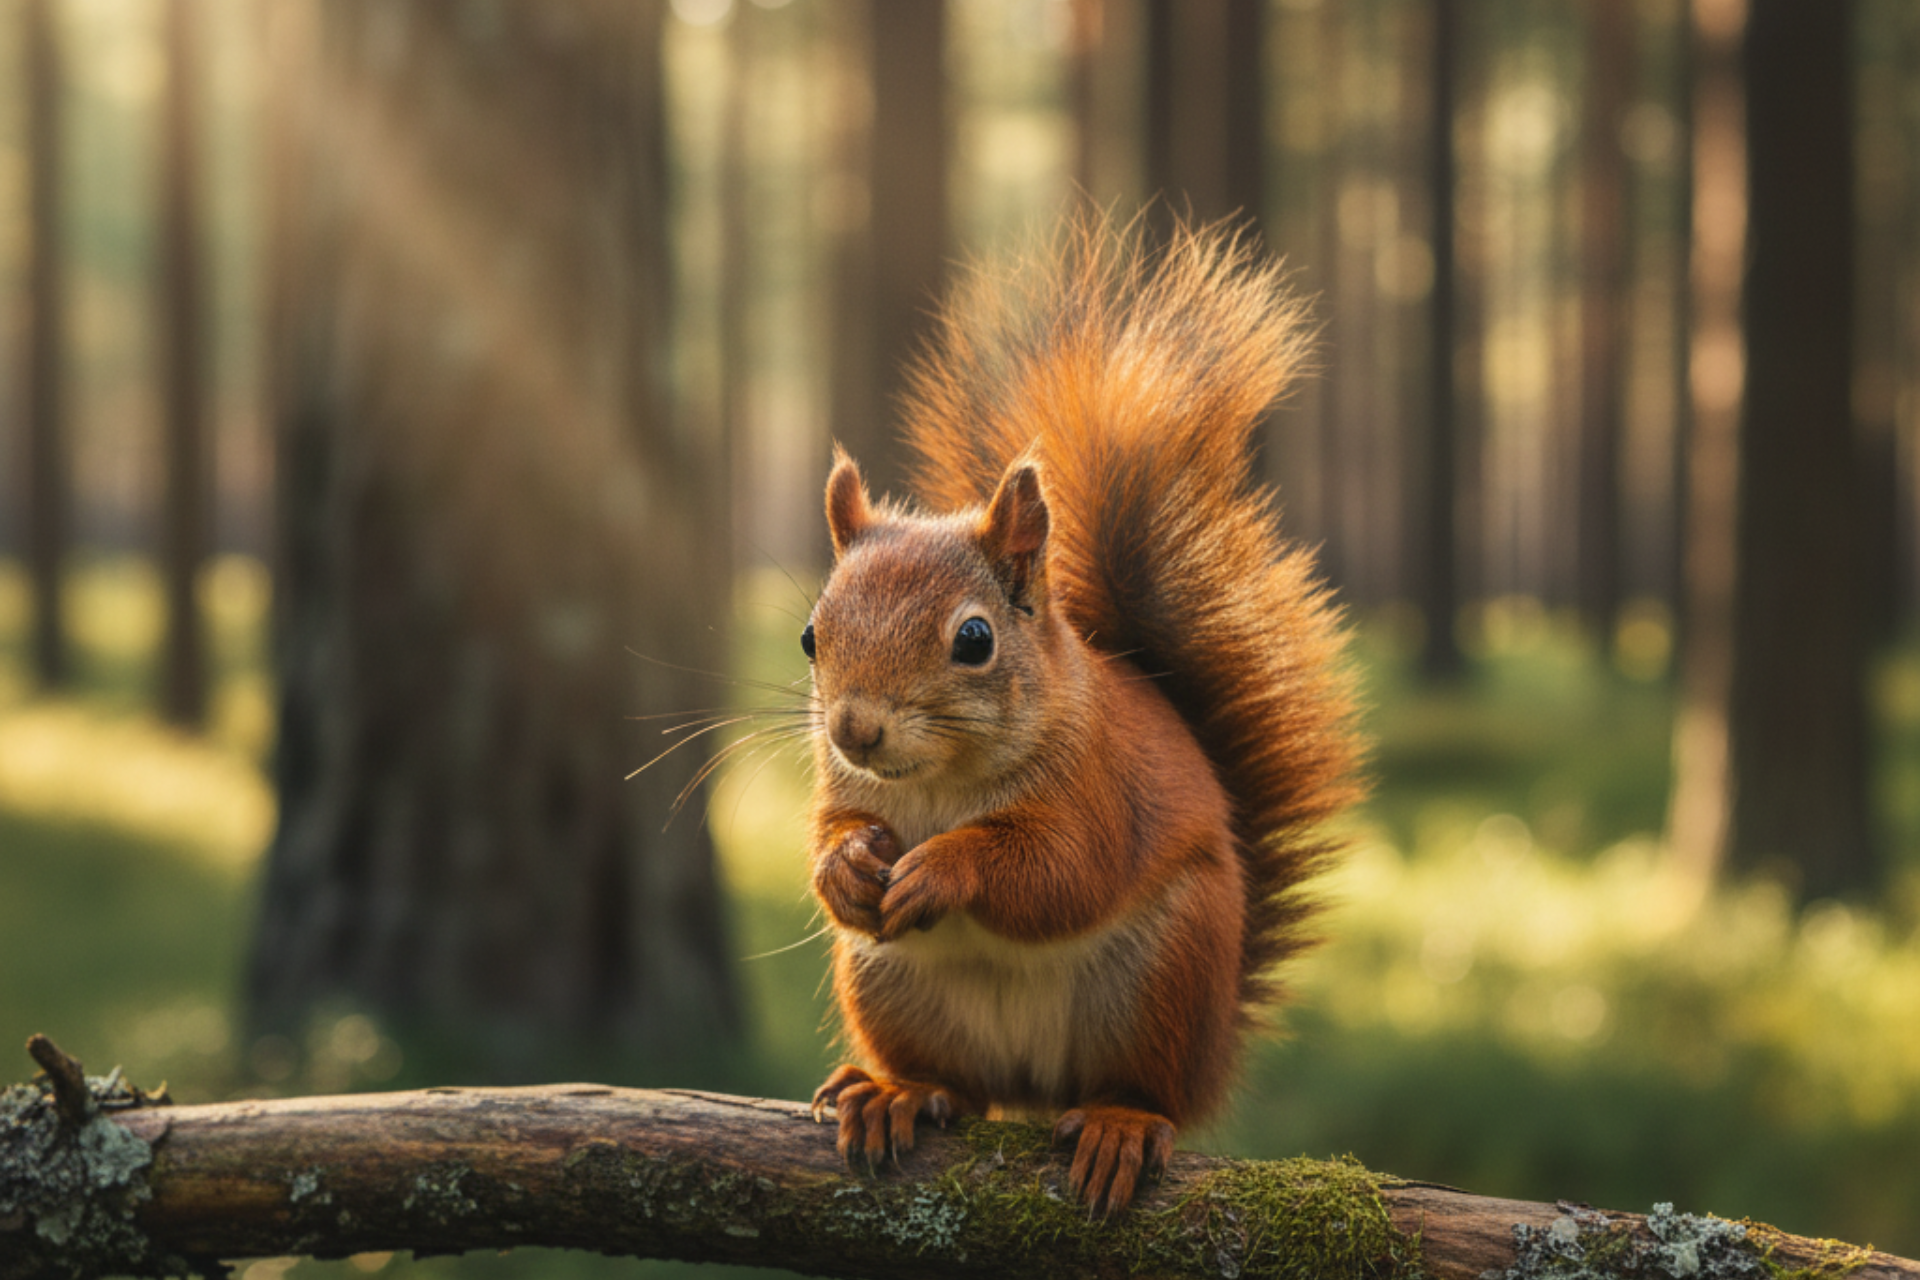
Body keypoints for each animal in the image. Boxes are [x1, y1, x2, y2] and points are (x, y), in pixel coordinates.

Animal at [802, 217, 1364, 1215]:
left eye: (974, 639)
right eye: (809, 636)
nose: (853, 732)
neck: (941, 785)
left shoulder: (1101, 788)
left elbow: (1061, 871)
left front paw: (944, 868)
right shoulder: (845, 790)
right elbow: (831, 830)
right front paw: (846, 867)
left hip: (1163, 979)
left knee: (1142, 1088)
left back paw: (1119, 1125)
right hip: (886, 983)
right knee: (958, 1088)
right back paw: (897, 1092)